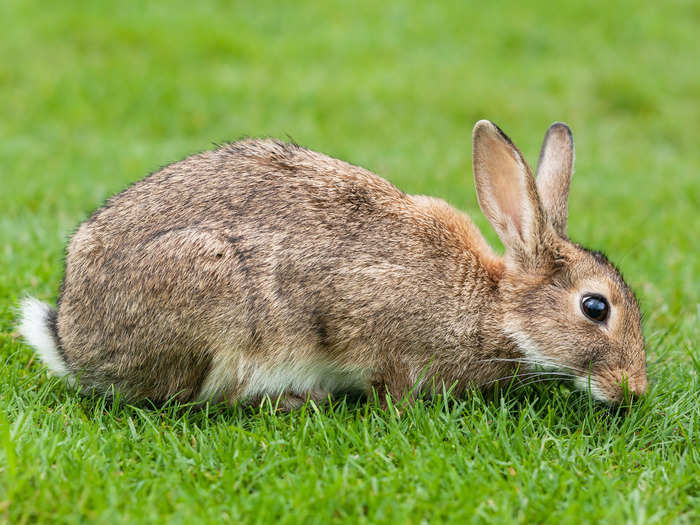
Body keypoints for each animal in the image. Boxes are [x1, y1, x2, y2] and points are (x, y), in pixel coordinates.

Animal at [19, 121, 648, 408]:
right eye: (596, 307)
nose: (635, 390)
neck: (495, 307)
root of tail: (72, 340)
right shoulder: (371, 322)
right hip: (210, 300)